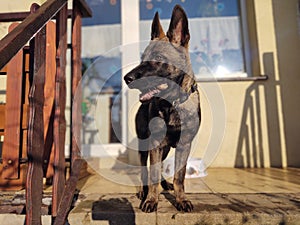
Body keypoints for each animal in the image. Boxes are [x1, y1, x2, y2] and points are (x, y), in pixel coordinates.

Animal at [124, 4, 202, 213]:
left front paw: (181, 199)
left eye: (158, 58)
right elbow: (151, 174)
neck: (172, 103)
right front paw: (151, 199)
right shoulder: (155, 144)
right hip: (146, 146)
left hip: (165, 148)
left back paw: (165, 184)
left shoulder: (183, 145)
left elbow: (179, 177)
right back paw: (143, 191)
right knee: (145, 170)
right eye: (142, 58)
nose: (126, 78)